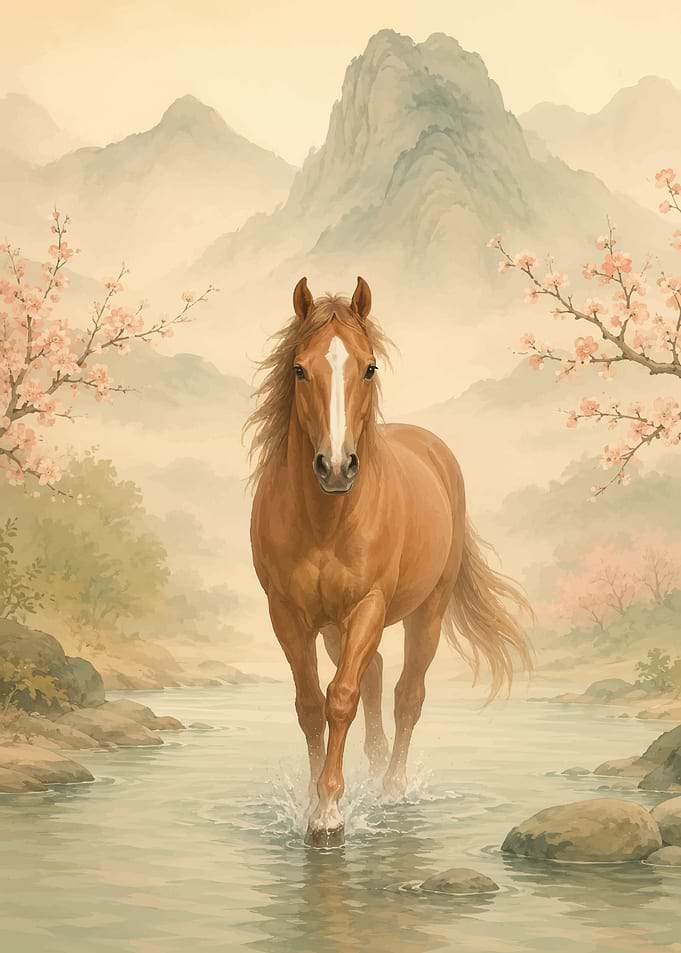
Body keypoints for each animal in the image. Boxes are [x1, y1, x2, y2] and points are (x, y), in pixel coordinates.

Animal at [247, 276, 532, 848]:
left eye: (369, 366)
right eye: (299, 368)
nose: (336, 467)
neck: (326, 519)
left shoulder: (369, 606)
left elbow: (341, 698)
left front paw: (328, 815)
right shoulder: (288, 614)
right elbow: (310, 705)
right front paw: (314, 798)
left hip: (427, 612)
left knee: (406, 694)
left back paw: (394, 787)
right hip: (333, 627)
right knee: (375, 675)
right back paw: (377, 767)